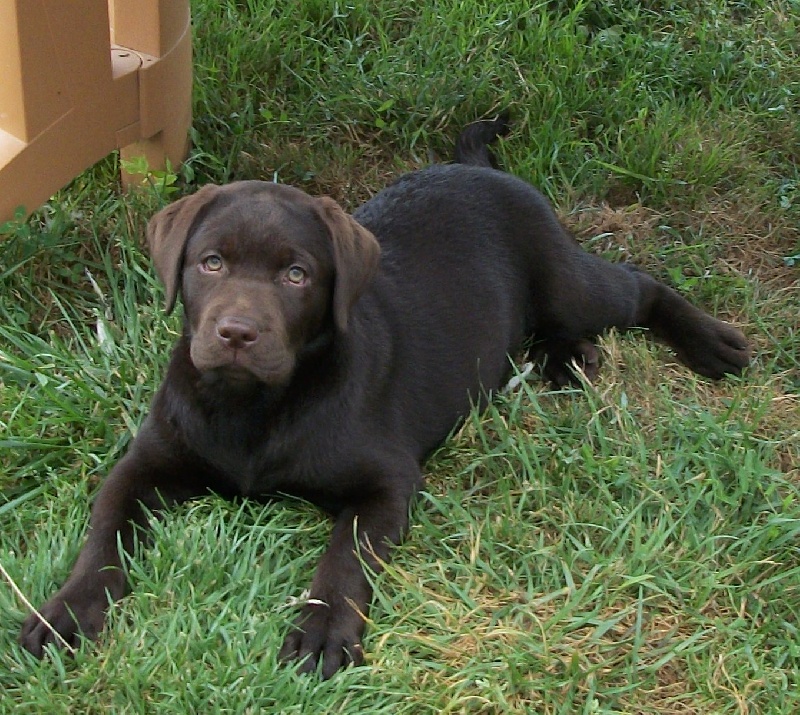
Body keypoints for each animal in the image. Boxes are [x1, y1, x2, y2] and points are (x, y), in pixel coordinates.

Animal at [19, 116, 750, 677]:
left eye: (296, 275)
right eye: (211, 263)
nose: (237, 333)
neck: (253, 406)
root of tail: (476, 168)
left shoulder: (387, 481)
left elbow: (344, 557)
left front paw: (321, 632)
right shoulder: (144, 461)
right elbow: (103, 537)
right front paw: (63, 614)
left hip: (565, 277)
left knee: (636, 286)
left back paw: (711, 344)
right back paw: (567, 357)